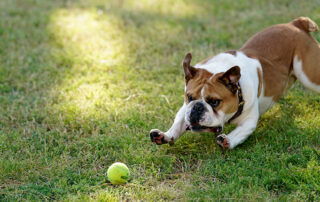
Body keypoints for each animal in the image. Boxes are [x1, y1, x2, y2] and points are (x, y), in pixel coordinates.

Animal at [149, 17, 320, 149]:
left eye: (215, 102)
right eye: (190, 97)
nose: (197, 107)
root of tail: (295, 24)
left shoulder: (249, 120)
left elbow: (239, 133)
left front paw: (227, 140)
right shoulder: (185, 109)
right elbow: (178, 123)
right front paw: (165, 135)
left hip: (308, 75)